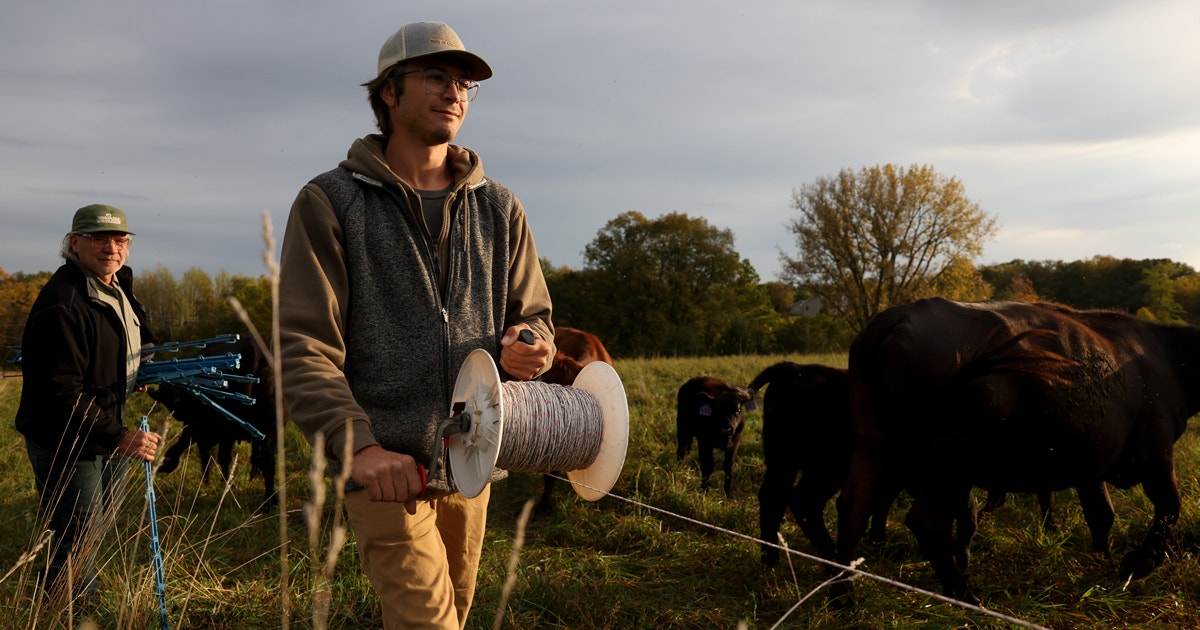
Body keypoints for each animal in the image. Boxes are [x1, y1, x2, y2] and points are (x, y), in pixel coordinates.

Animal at [148, 336, 277, 508]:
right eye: (165, 399)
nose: (177, 407)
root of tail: (252, 347)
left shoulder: (198, 427)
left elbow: (202, 454)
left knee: (225, 456)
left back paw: (228, 485)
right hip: (267, 429)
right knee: (267, 461)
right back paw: (268, 501)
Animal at [753, 362, 897, 564]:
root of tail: (794, 368)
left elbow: (882, 503)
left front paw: (879, 543)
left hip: (782, 460)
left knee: (772, 496)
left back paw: (770, 559)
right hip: (828, 468)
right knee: (804, 501)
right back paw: (834, 563)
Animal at [835, 297, 1200, 602]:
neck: (1166, 357)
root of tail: (893, 317)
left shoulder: (1093, 463)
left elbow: (1101, 514)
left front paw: (1100, 561)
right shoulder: (1155, 452)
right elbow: (1170, 507)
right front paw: (1138, 563)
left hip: (873, 446)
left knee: (853, 510)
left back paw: (843, 598)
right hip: (949, 465)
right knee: (927, 521)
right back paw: (965, 597)